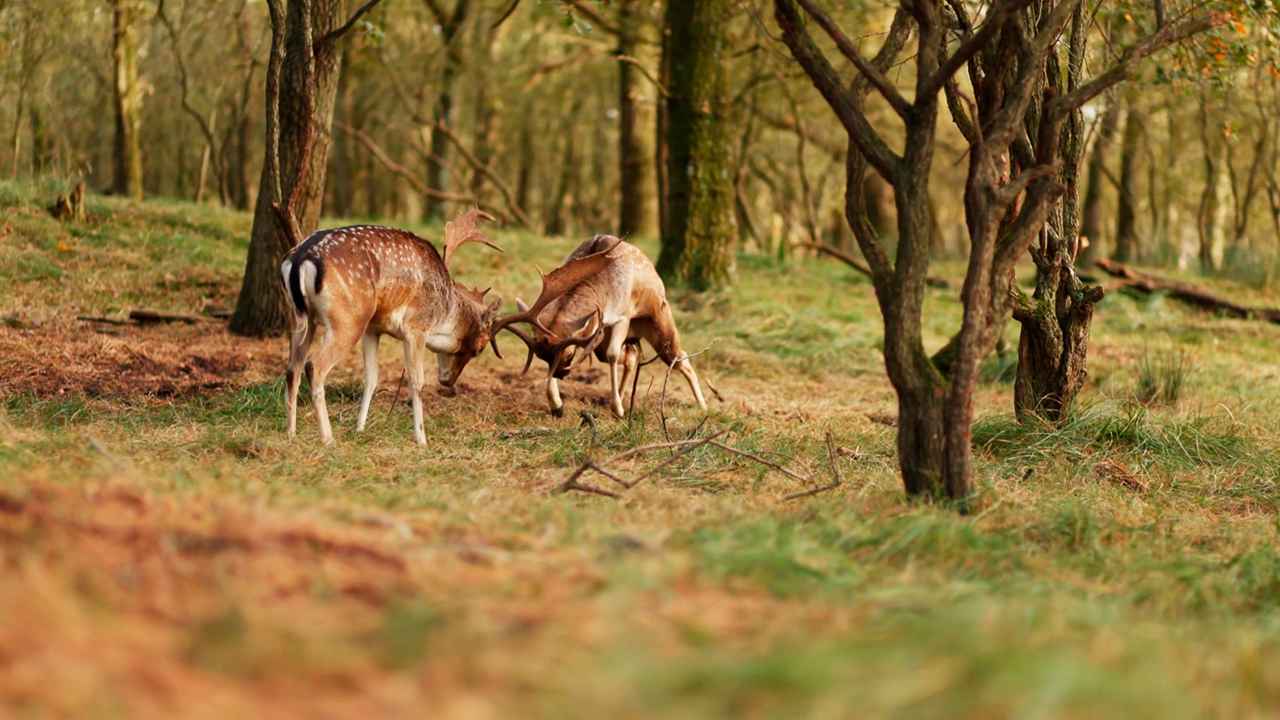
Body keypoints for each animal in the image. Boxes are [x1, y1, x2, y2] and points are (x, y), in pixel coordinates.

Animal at [280, 208, 504, 445]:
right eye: (480, 348)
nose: (448, 381)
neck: (442, 312)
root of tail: (299, 260)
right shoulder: (416, 328)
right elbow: (416, 381)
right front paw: (421, 438)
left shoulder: (373, 328)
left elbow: (371, 378)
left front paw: (359, 428)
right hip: (349, 320)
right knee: (314, 366)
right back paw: (328, 438)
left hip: (300, 318)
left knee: (292, 369)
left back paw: (291, 433)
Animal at [489, 234, 707, 419]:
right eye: (541, 357)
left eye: (569, 354)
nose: (561, 374)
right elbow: (614, 356)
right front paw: (557, 406)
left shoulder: (623, 316)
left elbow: (613, 354)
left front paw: (617, 409)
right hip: (607, 339)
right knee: (631, 356)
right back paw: (622, 395)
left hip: (660, 321)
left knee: (680, 358)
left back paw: (704, 406)